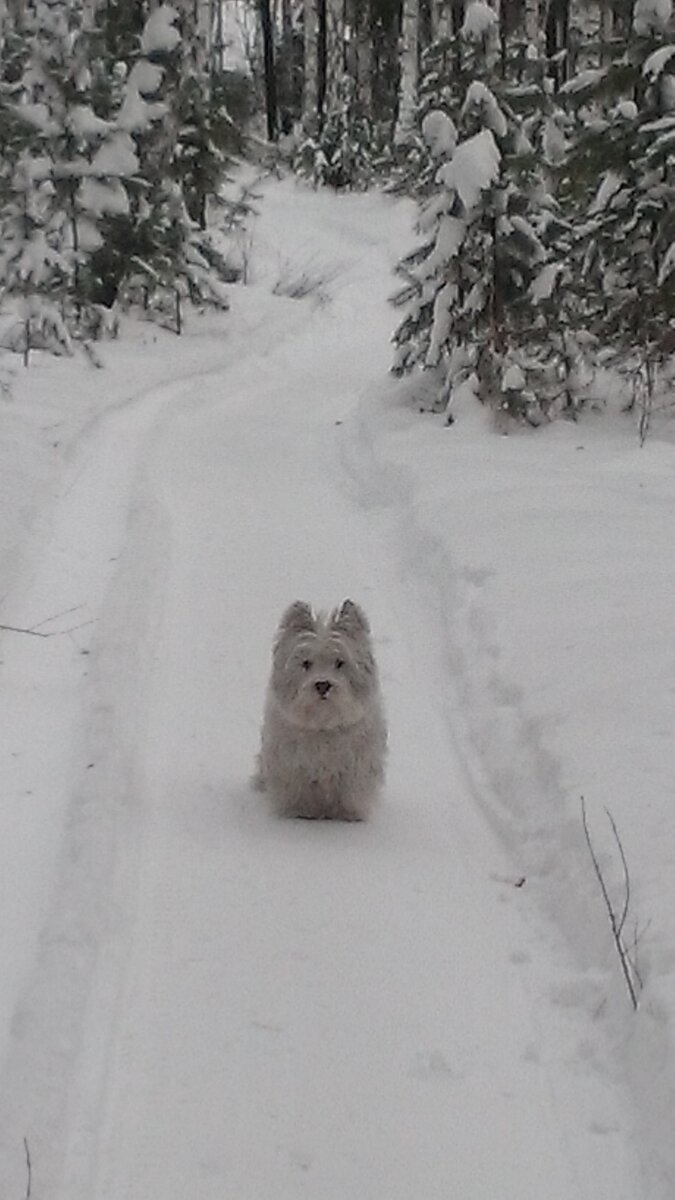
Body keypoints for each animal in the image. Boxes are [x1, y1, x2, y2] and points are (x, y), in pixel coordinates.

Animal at [254, 604, 386, 820]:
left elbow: (351, 791)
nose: (323, 684)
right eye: (306, 663)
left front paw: (348, 814)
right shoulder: (292, 765)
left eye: (340, 662)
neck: (323, 723)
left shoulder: (357, 765)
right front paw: (301, 811)